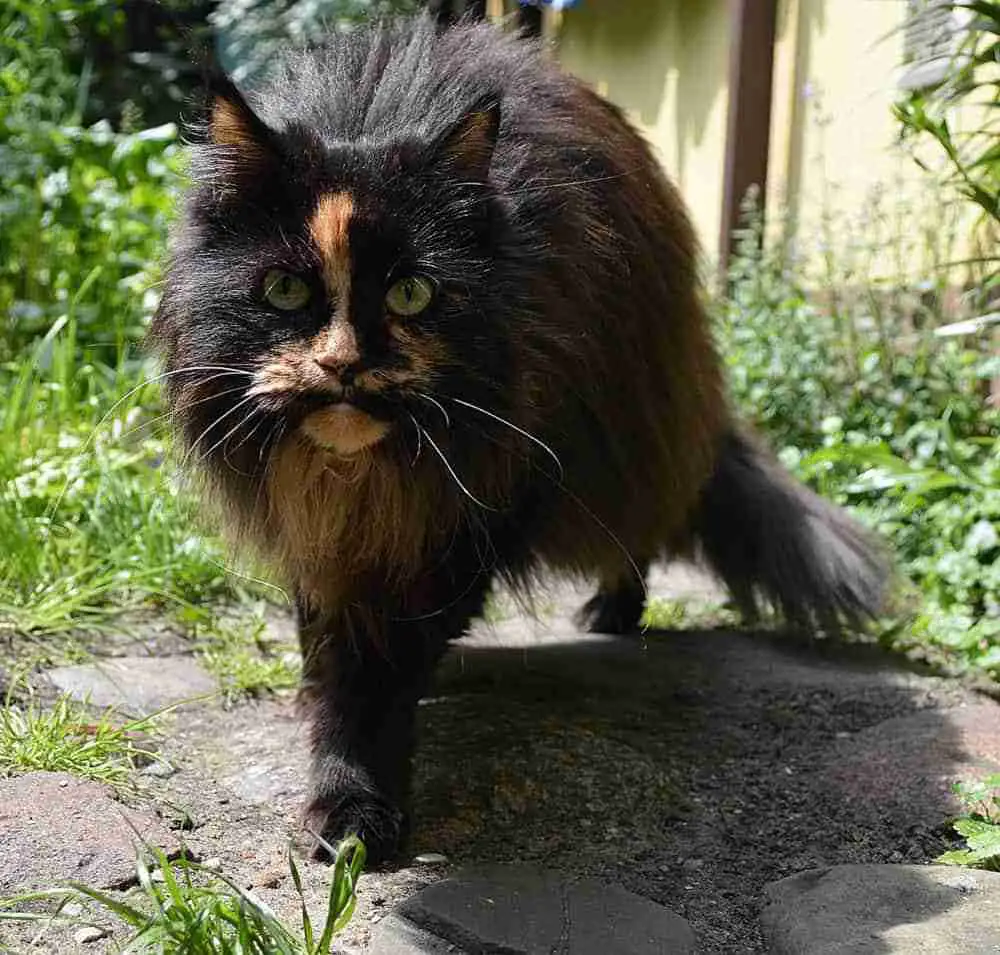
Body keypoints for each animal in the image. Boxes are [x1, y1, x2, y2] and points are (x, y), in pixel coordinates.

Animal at [152, 16, 888, 868]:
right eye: (284, 290)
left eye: (413, 294)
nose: (343, 364)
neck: (362, 481)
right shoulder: (321, 528)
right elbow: (327, 632)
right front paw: (319, 697)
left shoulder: (482, 503)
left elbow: (379, 672)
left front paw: (355, 797)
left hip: (624, 428)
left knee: (646, 525)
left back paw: (612, 611)